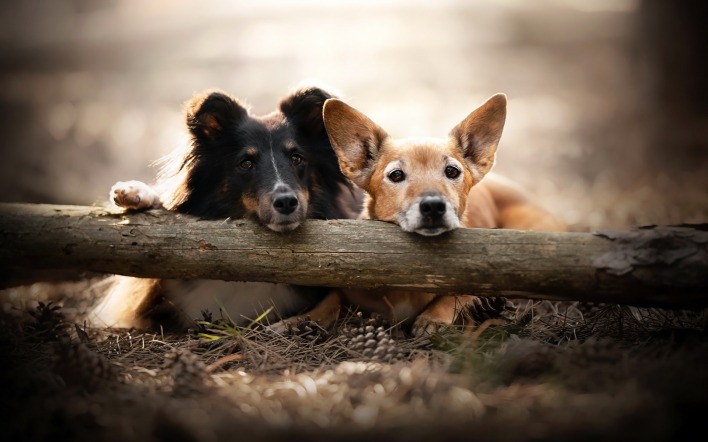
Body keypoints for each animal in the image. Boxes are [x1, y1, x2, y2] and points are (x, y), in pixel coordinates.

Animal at [276, 93, 564, 334]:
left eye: (452, 171)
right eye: (396, 175)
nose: (433, 206)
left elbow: (456, 294)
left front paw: (433, 317)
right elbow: (332, 297)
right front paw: (302, 319)